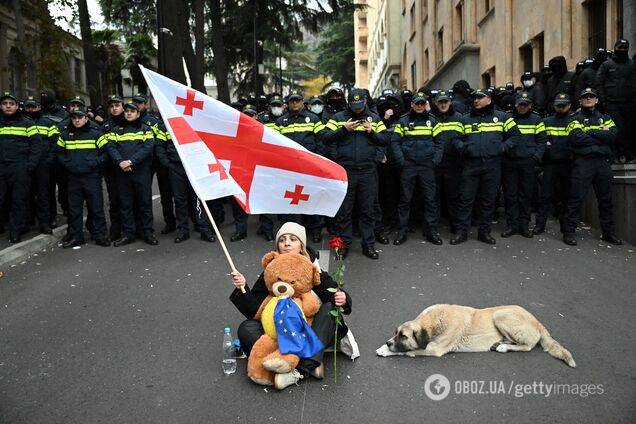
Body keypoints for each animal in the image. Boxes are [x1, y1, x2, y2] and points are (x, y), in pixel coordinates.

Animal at [378, 304, 576, 366]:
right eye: (396, 333)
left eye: (404, 336)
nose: (388, 343)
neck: (433, 321)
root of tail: (538, 322)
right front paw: (384, 346)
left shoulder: (433, 350)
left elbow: (405, 352)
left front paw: (387, 351)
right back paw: (500, 343)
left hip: (500, 315)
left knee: (527, 346)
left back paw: (504, 347)